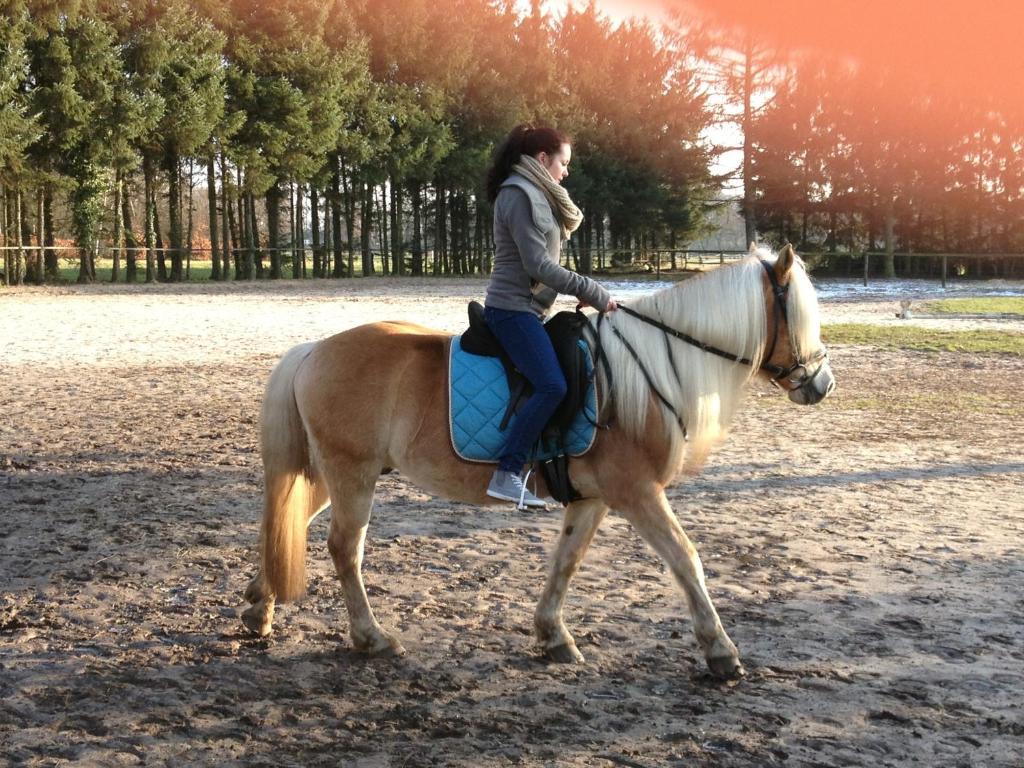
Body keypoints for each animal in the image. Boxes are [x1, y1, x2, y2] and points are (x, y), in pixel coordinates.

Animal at [243, 246, 835, 679]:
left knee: (286, 524)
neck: (647, 373)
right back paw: (371, 637)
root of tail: (315, 349)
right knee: (344, 550)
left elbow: (566, 561)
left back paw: (258, 608)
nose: (822, 383)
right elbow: (686, 559)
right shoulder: (637, 492)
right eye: (797, 316)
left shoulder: (594, 497)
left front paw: (553, 636)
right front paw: (720, 651)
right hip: (353, 475)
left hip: (335, 476)